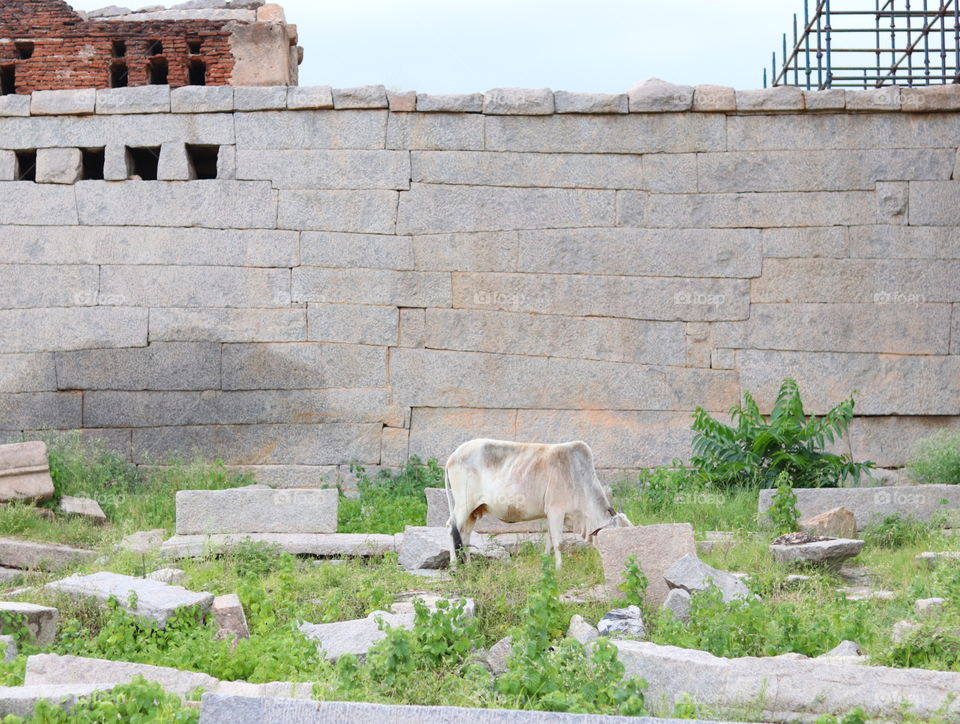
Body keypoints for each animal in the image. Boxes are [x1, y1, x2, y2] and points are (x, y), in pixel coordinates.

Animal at [444, 438, 631, 568]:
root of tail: (453, 456)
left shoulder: (551, 514)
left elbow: (549, 540)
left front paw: (546, 565)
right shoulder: (556, 511)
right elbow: (559, 542)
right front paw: (559, 568)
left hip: (474, 510)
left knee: (464, 534)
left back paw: (468, 566)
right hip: (464, 504)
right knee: (451, 528)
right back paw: (454, 567)